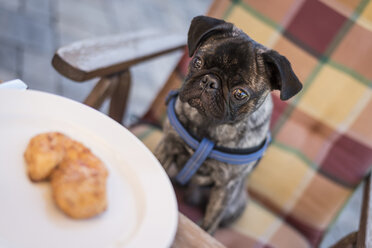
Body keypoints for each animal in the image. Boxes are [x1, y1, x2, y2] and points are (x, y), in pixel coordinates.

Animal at [154, 16, 302, 234]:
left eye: (240, 93)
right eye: (197, 61)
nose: (209, 81)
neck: (209, 125)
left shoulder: (225, 187)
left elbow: (210, 222)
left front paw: (205, 231)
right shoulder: (167, 146)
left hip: (233, 205)